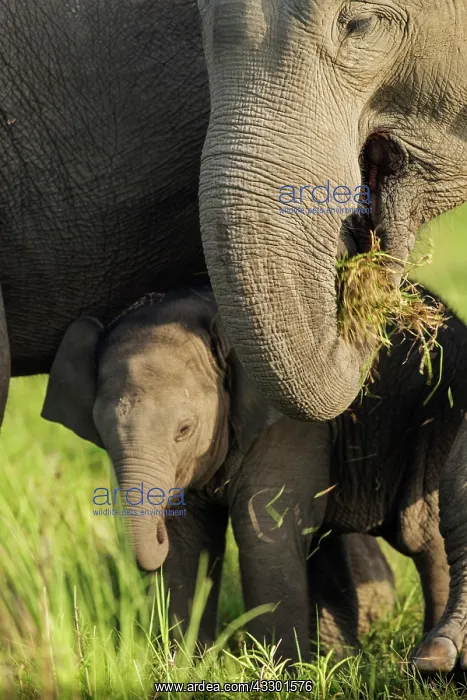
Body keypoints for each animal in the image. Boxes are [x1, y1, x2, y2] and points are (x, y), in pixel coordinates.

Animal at [42, 286, 465, 671]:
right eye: (101, 432)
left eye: (184, 430)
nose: (155, 534)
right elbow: (189, 539)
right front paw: (186, 669)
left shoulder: (290, 425)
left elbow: (263, 529)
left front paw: (278, 675)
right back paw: (342, 662)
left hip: (436, 419)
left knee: (424, 536)